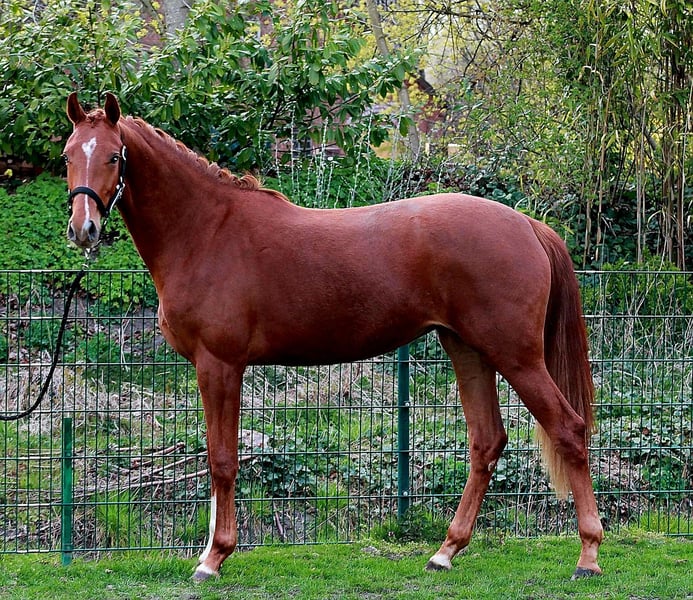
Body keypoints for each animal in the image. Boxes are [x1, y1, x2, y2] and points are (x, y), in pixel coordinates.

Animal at [63, 92, 603, 581]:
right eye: (69, 154)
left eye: (113, 156)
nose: (83, 229)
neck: (207, 231)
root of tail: (528, 225)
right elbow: (219, 458)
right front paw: (208, 552)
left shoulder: (219, 364)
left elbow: (222, 460)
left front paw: (213, 558)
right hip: (468, 349)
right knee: (487, 442)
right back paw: (445, 552)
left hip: (517, 356)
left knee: (569, 430)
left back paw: (588, 555)